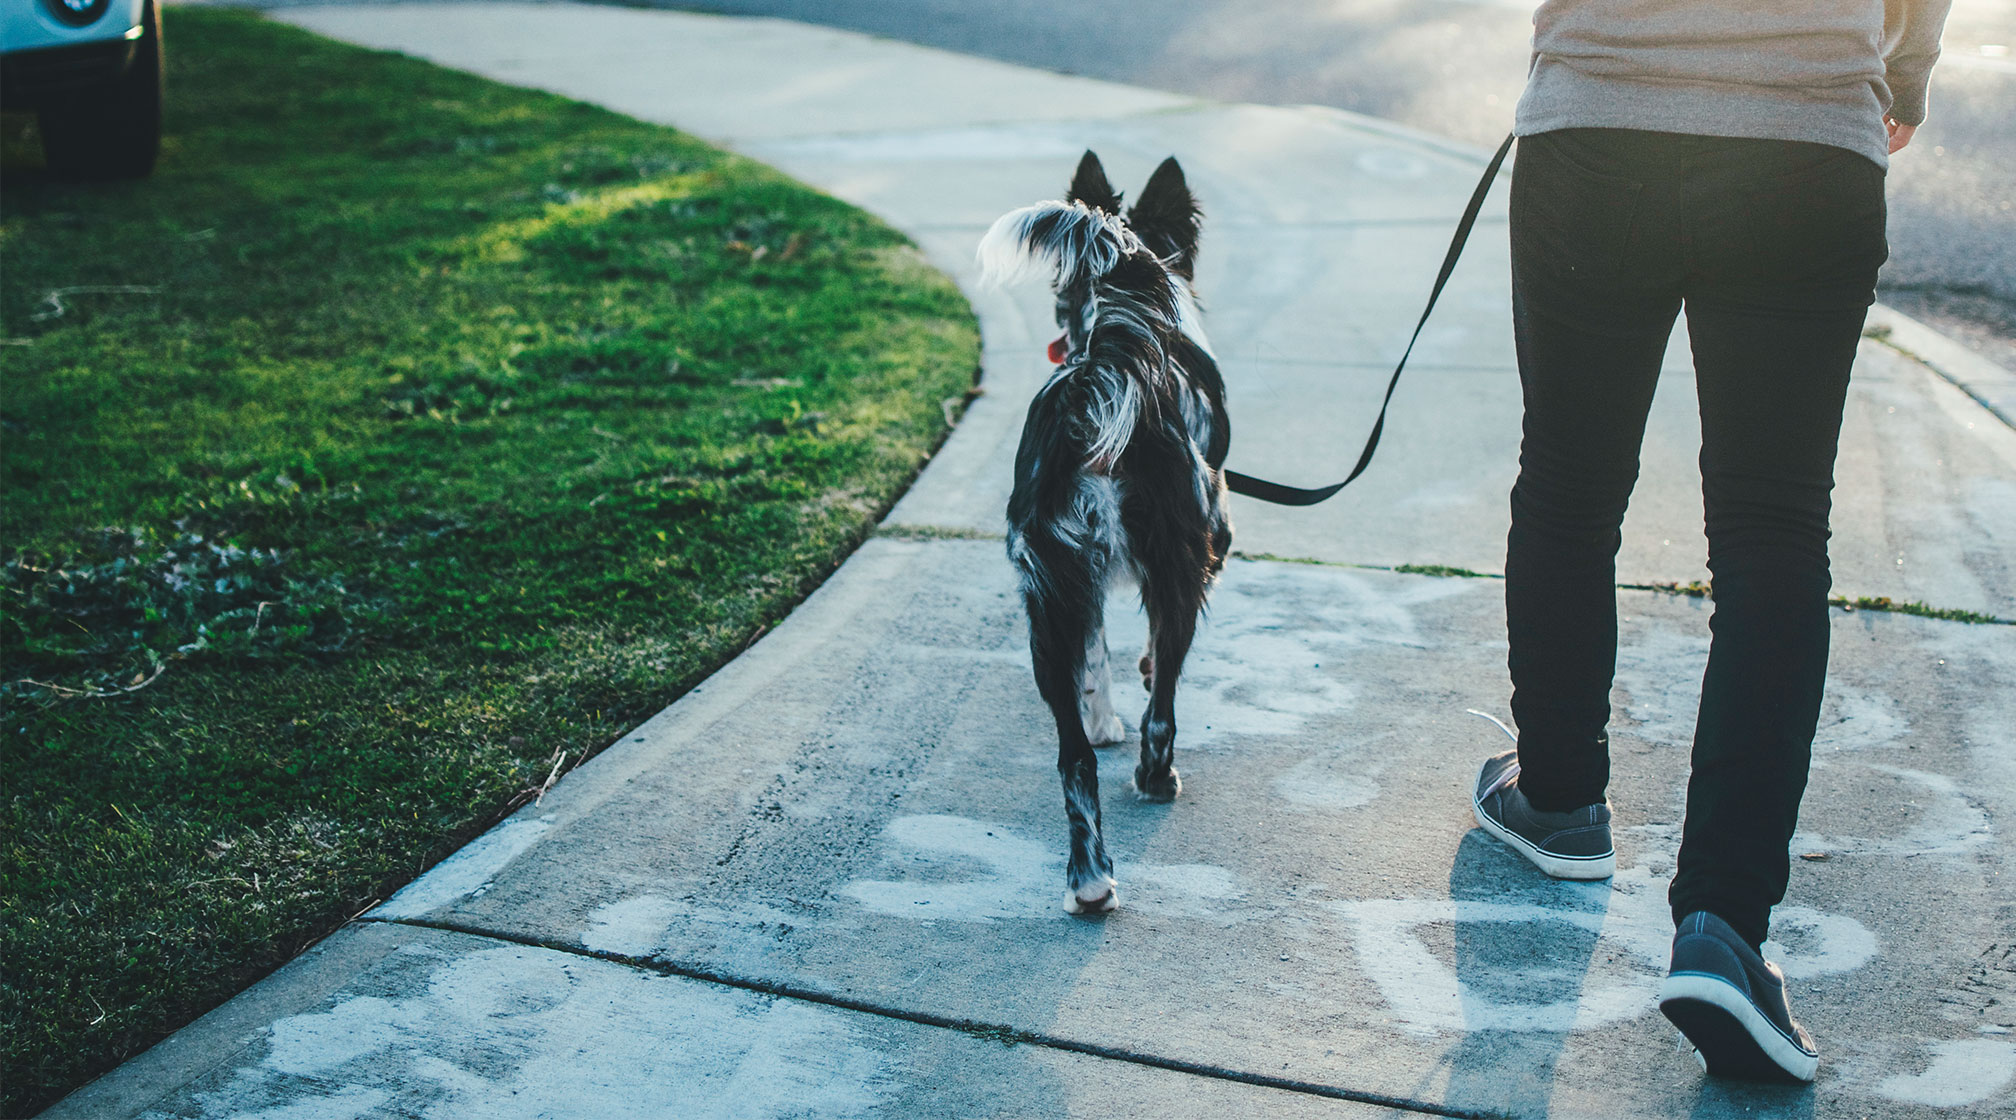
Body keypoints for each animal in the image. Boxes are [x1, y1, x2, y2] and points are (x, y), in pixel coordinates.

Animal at [975, 149, 1225, 914]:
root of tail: (1105, 375)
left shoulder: (1073, 588)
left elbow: (1096, 660)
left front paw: (1102, 720)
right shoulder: (1213, 538)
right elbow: (1143, 664)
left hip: (1046, 594)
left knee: (1072, 759)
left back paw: (1088, 881)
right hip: (1178, 565)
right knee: (1163, 711)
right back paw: (1156, 782)